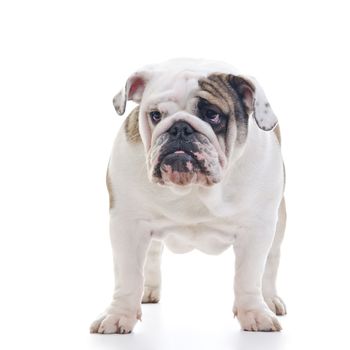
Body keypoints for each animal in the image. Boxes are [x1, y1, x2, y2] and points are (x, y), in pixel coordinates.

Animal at [90, 57, 288, 334]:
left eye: (212, 115)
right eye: (155, 115)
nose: (180, 128)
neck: (192, 187)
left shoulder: (256, 229)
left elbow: (249, 276)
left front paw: (254, 314)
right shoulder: (126, 225)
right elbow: (128, 275)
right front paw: (118, 316)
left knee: (270, 262)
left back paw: (269, 300)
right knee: (152, 254)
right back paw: (148, 291)